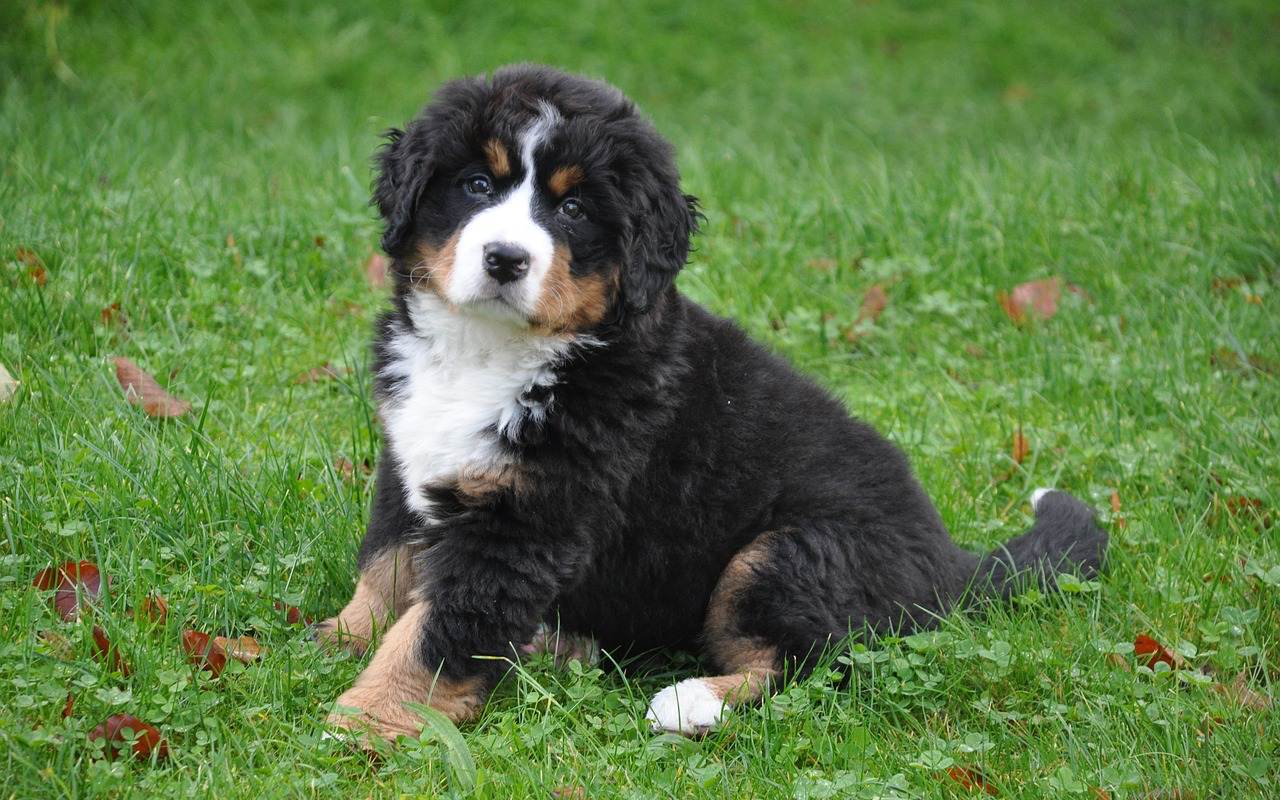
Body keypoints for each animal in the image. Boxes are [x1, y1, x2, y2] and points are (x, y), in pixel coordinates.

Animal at [314, 62, 1105, 737]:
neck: (487, 352)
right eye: (478, 184)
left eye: (573, 208)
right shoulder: (411, 462)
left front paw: (367, 719)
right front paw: (339, 637)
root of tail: (951, 566)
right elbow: (388, 565)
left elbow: (437, 632)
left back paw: (691, 701)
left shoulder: (523, 520)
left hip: (787, 553)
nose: (505, 259)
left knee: (817, 662)